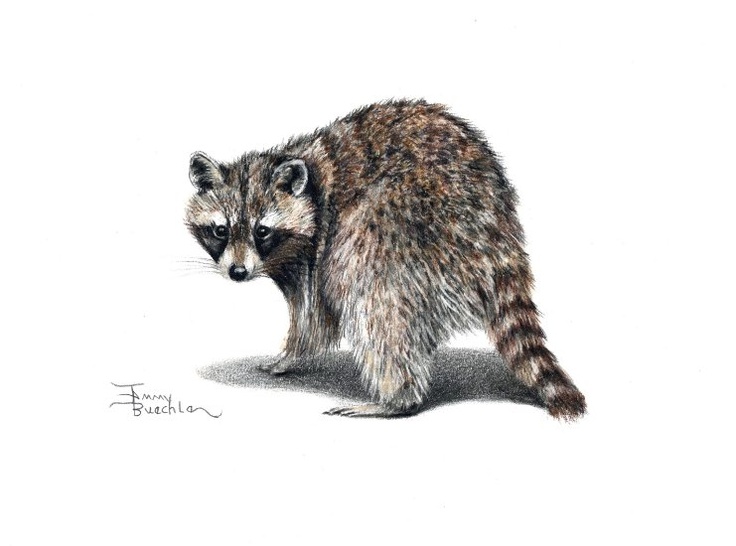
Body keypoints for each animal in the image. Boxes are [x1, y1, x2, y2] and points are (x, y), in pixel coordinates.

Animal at [185, 99, 586, 420]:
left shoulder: (317, 246)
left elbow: (315, 317)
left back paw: (396, 399)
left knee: (372, 295)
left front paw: (292, 354)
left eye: (262, 231)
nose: (237, 272)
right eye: (220, 231)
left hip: (401, 226)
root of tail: (498, 231)